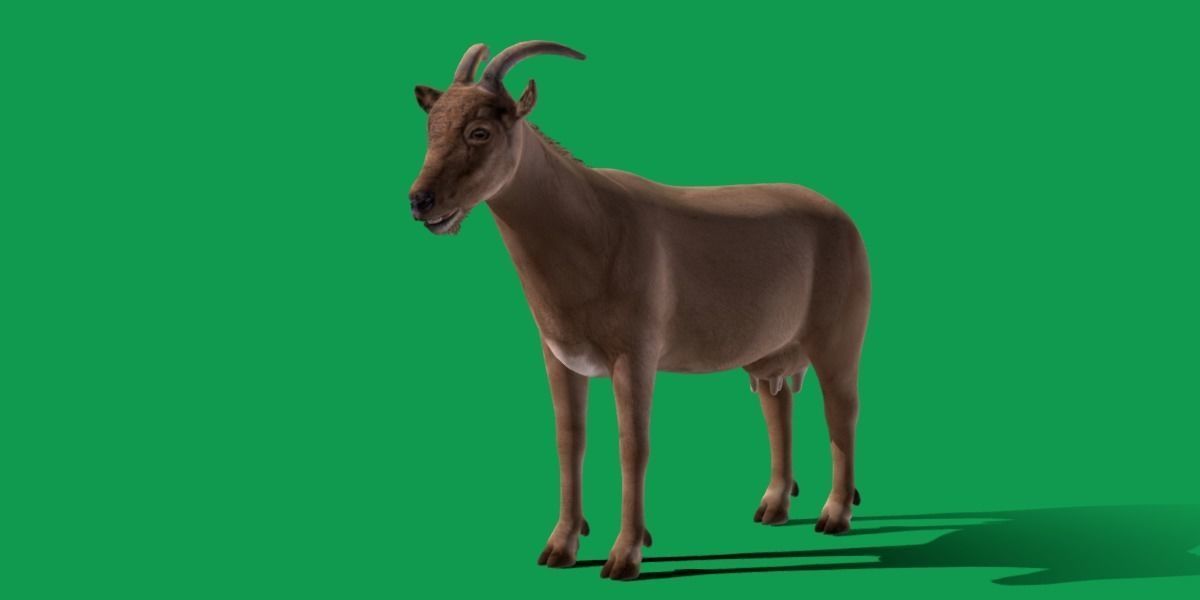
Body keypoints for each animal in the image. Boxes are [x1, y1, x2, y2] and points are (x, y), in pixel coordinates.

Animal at [409, 41, 870, 580]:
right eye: (430, 126)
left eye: (479, 131)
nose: (421, 201)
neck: (592, 225)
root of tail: (844, 219)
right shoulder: (560, 355)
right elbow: (570, 440)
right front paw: (560, 546)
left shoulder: (635, 355)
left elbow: (634, 445)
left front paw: (625, 554)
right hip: (769, 353)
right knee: (776, 404)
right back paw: (773, 507)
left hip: (838, 341)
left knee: (841, 411)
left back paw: (835, 515)